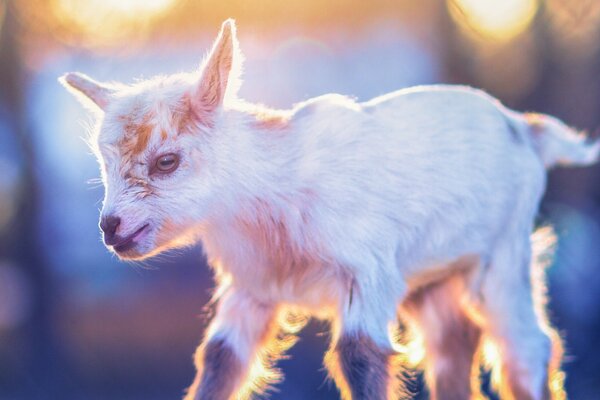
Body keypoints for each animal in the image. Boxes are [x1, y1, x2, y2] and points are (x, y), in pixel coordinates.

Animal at [59, 19, 596, 400]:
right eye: (104, 164)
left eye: (166, 161)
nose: (111, 228)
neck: (275, 191)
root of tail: (525, 128)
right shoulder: (252, 290)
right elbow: (220, 362)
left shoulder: (367, 274)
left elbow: (359, 360)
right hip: (429, 277)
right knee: (453, 347)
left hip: (502, 256)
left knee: (526, 350)